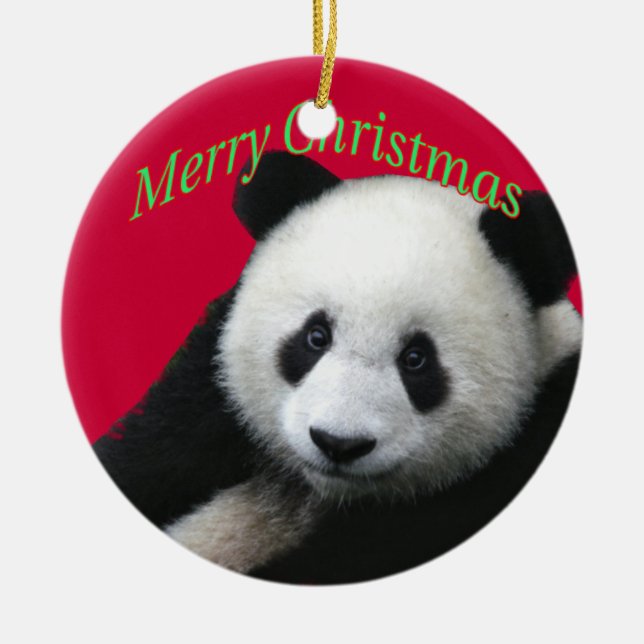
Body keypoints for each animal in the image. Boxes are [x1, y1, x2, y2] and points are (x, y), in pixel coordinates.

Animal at [94, 151, 582, 584]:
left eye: (416, 359)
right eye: (316, 337)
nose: (338, 444)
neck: (320, 491)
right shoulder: (207, 395)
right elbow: (154, 449)